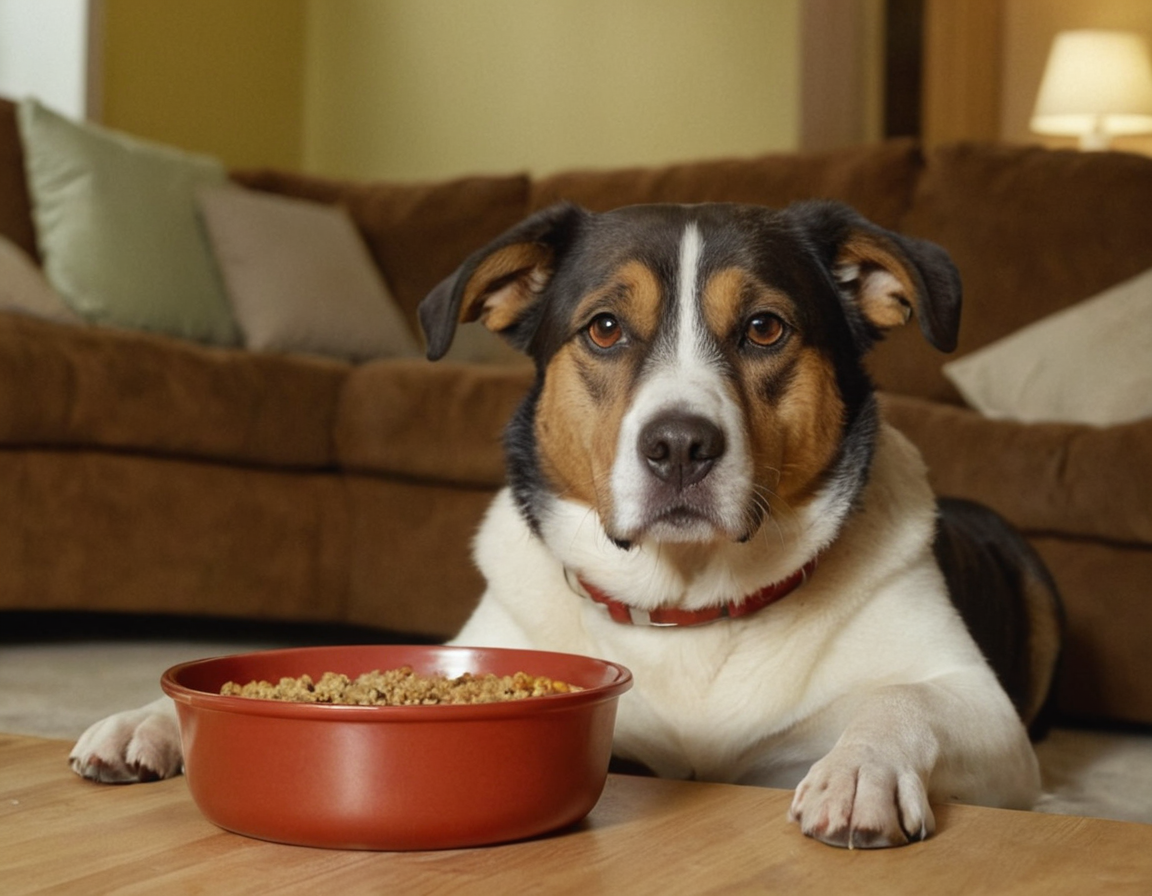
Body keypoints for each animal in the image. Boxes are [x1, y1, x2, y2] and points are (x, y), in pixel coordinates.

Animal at [72, 199, 1059, 847]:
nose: (679, 446)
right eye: (606, 328)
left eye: (766, 329)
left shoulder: (986, 717)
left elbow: (901, 698)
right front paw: (149, 721)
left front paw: (859, 773)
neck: (690, 603)